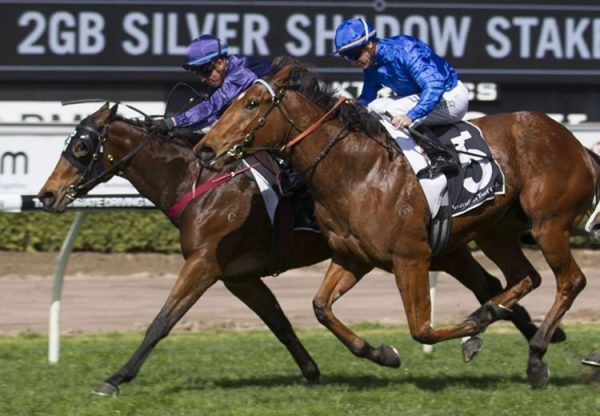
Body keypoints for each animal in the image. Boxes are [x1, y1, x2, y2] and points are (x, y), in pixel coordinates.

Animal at [195, 64, 596, 386]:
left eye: (251, 104)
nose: (205, 149)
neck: (359, 171)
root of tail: (575, 142)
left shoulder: (411, 257)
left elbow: (422, 330)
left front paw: (471, 332)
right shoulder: (353, 256)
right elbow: (321, 307)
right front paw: (383, 354)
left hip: (548, 224)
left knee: (571, 281)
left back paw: (535, 355)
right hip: (497, 232)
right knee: (526, 277)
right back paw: (496, 312)